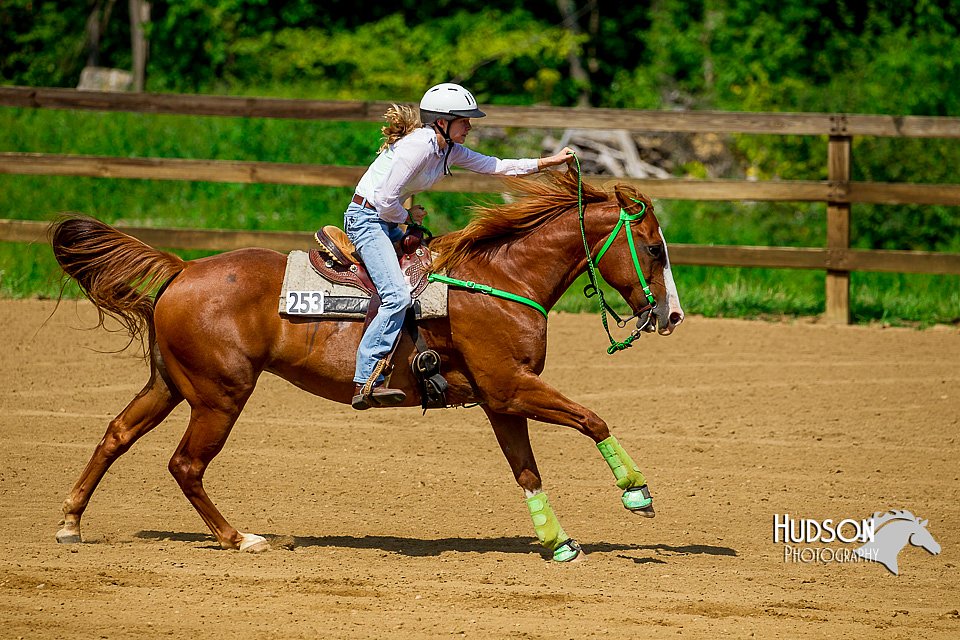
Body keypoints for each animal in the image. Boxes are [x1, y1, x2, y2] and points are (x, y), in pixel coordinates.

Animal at [50, 168, 684, 564]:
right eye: (654, 248)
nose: (671, 315)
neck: (501, 279)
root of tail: (182, 268)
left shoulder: (501, 399)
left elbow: (527, 471)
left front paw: (558, 543)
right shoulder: (512, 387)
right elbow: (592, 418)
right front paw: (638, 494)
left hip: (170, 385)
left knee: (116, 434)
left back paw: (71, 523)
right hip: (220, 395)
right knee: (185, 465)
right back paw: (240, 539)